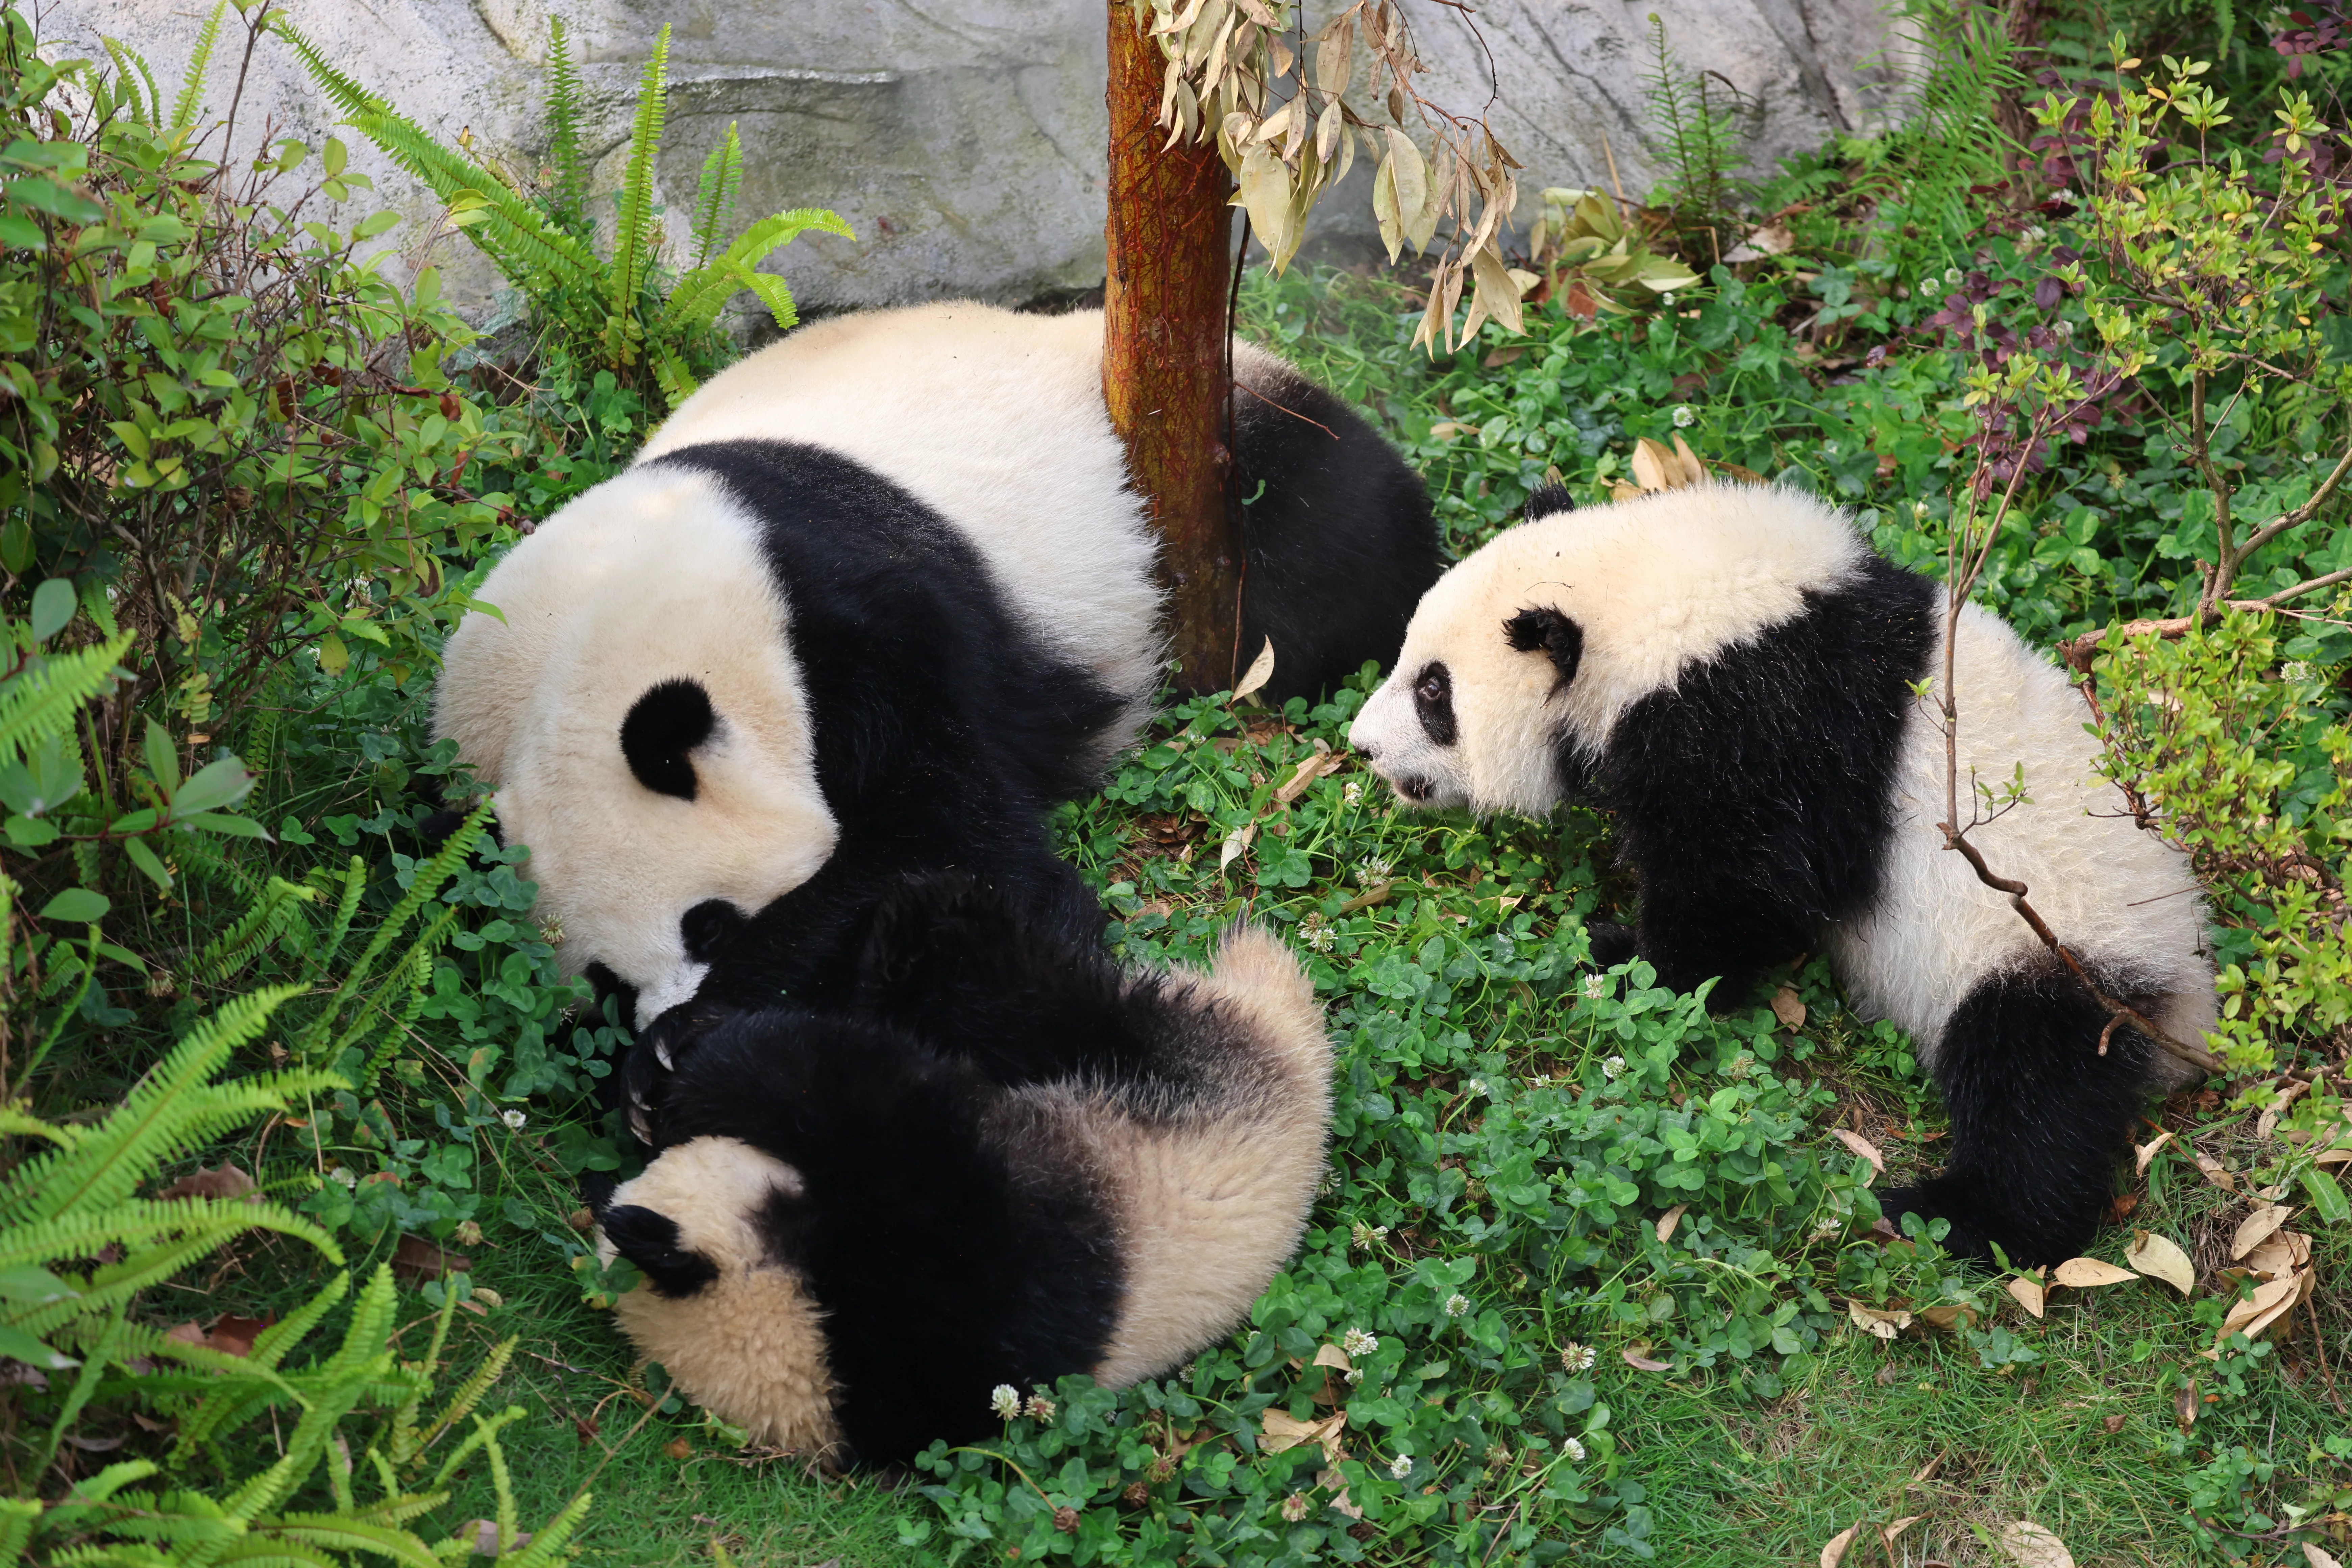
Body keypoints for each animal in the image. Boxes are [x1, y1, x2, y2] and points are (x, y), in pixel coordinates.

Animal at [431, 301, 1438, 1070]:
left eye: (707, 927)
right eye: (605, 981)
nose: (658, 1017)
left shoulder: (864, 622)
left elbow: (954, 842)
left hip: (1207, 468)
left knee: (1328, 536)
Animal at [590, 874, 1333, 1467]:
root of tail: (1299, 1059)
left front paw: (673, 1066)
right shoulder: (969, 1302)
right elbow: (882, 1109)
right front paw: (716, 1067)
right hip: (1169, 1075)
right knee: (1023, 990)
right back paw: (927, 922)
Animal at [1345, 479, 2216, 1267]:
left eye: (1434, 692)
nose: (1363, 747)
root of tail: (2191, 1008)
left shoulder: (1763, 724)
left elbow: (1747, 880)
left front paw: (1627, 959)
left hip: (2060, 950)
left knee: (2032, 1087)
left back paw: (1958, 1217)